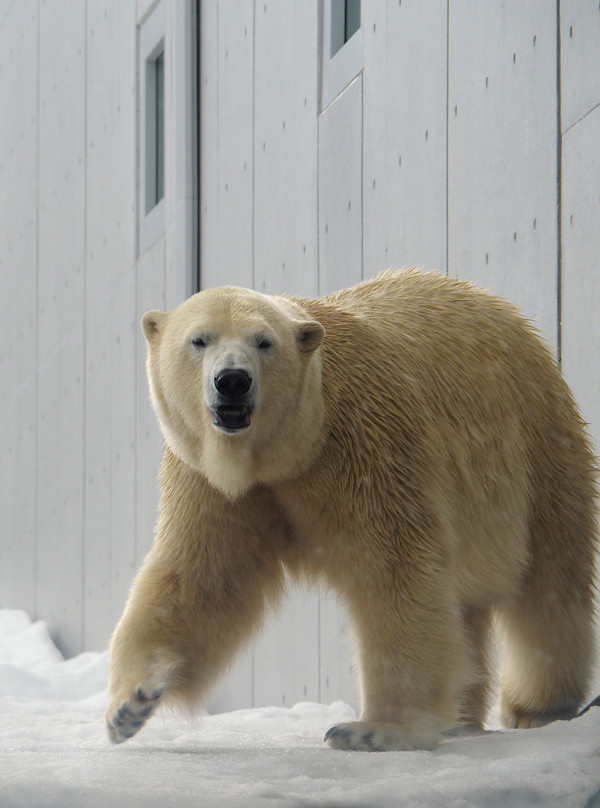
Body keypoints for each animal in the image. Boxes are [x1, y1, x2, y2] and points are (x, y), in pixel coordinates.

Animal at [105, 268, 596, 748]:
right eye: (199, 339)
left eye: (264, 342)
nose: (232, 381)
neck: (293, 448)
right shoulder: (215, 485)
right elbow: (200, 578)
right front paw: (131, 704)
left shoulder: (367, 448)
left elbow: (394, 570)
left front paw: (374, 729)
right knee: (471, 608)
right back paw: (461, 717)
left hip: (536, 446)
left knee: (550, 585)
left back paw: (537, 706)